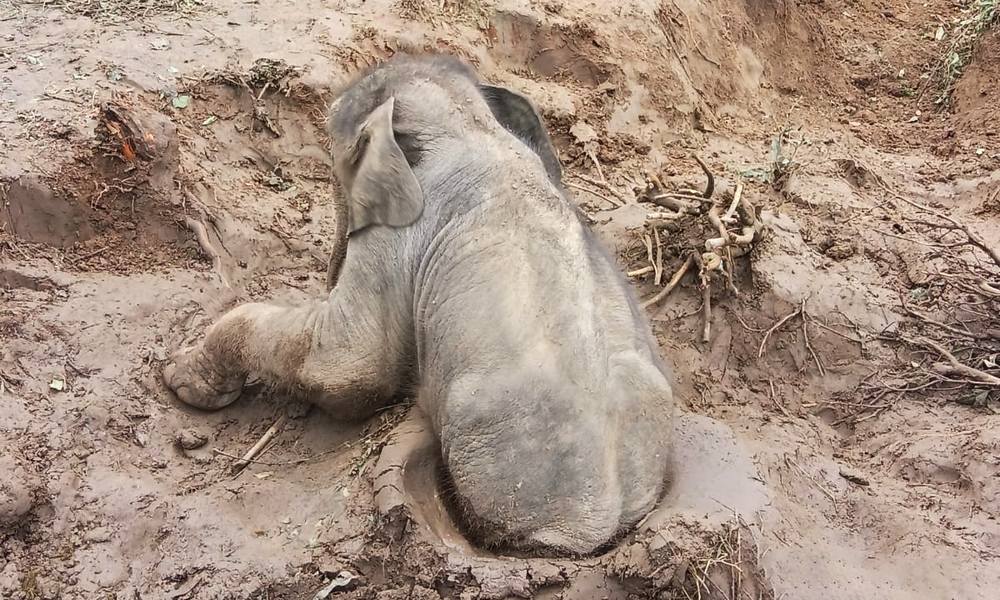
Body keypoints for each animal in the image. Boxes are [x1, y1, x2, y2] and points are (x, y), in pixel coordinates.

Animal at [163, 54, 675, 556]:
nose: (326, 277)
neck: (469, 125)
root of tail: (595, 525)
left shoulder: (401, 232)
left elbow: (349, 366)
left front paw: (177, 377)